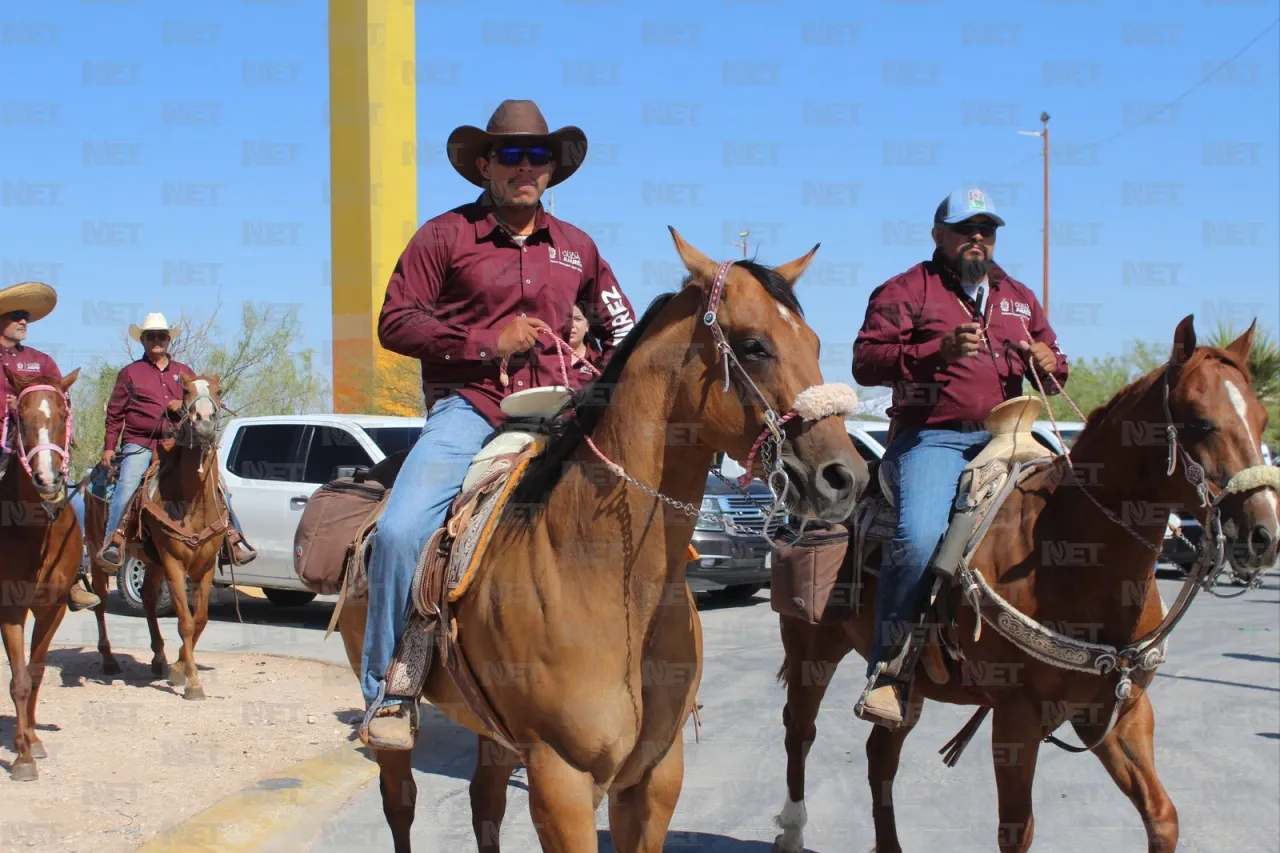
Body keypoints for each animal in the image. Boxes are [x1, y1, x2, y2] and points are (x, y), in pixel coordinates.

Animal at [86, 371, 227, 696]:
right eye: (185, 390)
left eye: (219, 391)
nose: (204, 421)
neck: (193, 503)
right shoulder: (174, 563)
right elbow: (185, 621)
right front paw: (192, 683)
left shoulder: (206, 564)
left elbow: (200, 619)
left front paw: (178, 668)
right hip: (99, 552)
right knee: (100, 601)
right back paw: (109, 659)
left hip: (150, 560)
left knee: (149, 599)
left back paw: (159, 657)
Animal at [337, 227, 870, 850]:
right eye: (755, 345)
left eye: (812, 340)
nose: (845, 478)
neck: (603, 579)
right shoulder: (560, 782)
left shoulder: (653, 777)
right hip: (384, 707)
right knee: (400, 802)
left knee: (484, 802)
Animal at [768, 313, 1280, 850]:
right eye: (1199, 421)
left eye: (1262, 420)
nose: (1264, 534)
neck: (1067, 552)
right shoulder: (1016, 717)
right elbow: (1016, 830)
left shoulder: (1119, 711)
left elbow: (1162, 816)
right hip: (811, 651)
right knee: (799, 730)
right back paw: (791, 830)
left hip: (909, 685)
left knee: (879, 754)